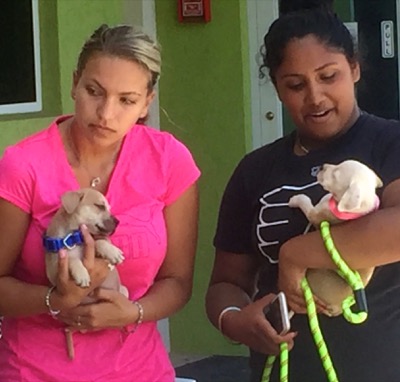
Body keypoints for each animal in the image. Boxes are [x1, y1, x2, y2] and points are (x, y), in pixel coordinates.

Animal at [288, 159, 382, 316]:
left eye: (335, 175)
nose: (321, 167)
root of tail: (337, 308)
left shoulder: (314, 214)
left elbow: (305, 201)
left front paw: (295, 199)